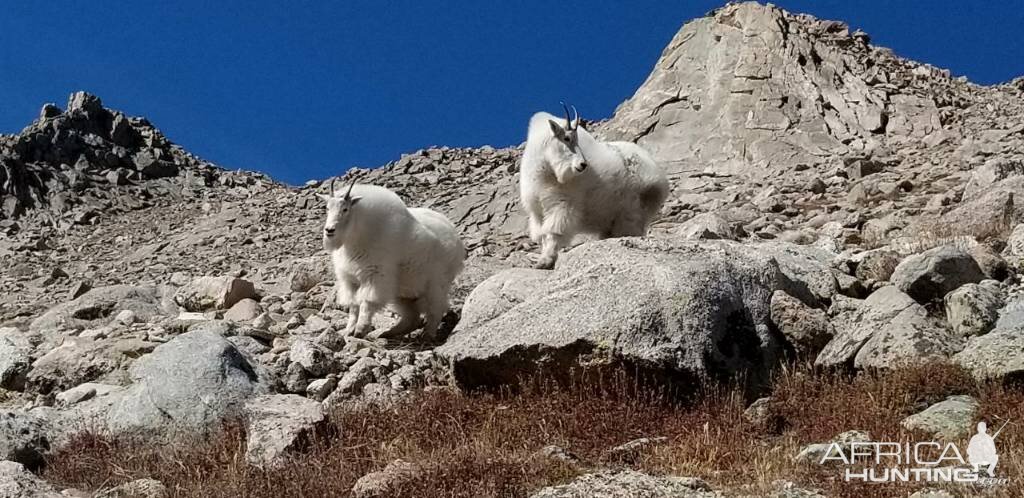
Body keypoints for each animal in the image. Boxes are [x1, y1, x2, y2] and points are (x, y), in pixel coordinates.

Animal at [317, 180, 466, 342]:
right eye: (327, 208)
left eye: (345, 209)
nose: (329, 230)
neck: (356, 239)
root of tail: (455, 238)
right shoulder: (350, 280)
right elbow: (353, 306)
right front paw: (349, 330)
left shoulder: (376, 275)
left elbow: (366, 302)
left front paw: (360, 330)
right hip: (404, 291)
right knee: (412, 317)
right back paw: (388, 333)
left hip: (436, 282)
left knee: (436, 309)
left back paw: (427, 335)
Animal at [520, 102, 671, 270]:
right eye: (566, 138)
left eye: (577, 140)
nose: (583, 165)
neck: (546, 171)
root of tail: (659, 177)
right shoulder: (537, 211)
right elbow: (541, 236)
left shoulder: (562, 205)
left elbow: (554, 232)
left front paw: (545, 261)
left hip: (633, 210)